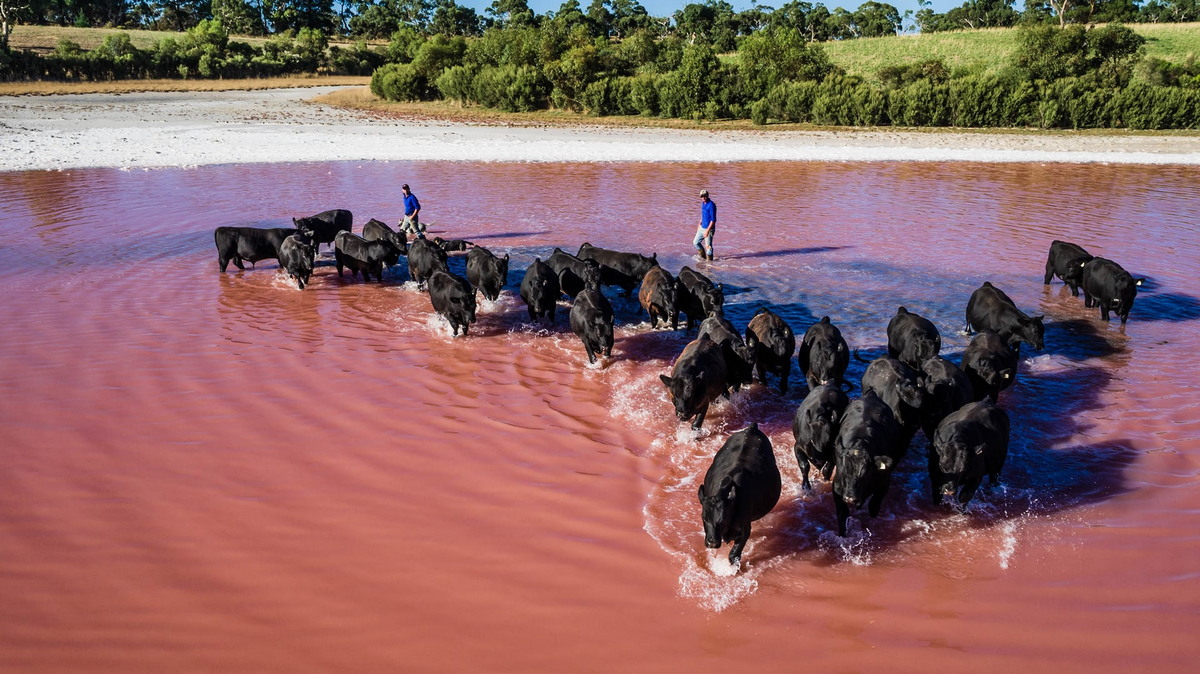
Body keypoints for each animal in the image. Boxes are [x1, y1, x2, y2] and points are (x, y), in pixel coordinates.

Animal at [700, 422, 782, 568]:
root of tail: (751, 429)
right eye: (704, 518)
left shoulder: (744, 531)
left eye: (723, 519)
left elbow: (734, 555)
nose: (712, 542)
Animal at [835, 390, 902, 532]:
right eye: (843, 472)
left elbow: (874, 507)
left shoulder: (883, 485)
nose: (850, 499)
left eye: (865, 475)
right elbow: (842, 515)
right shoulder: (837, 488)